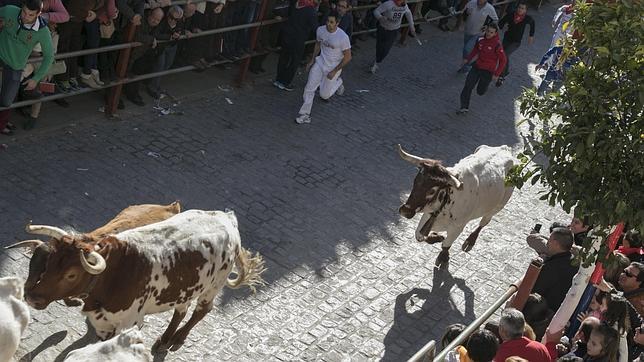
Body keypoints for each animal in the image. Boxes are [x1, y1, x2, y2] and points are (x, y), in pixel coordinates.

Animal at [7, 209, 264, 350]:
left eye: (71, 274)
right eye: (47, 263)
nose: (32, 297)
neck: (113, 274)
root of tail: (226, 217)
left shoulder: (128, 322)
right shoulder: (102, 322)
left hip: (213, 286)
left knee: (202, 310)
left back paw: (178, 338)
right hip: (186, 288)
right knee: (180, 310)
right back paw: (165, 339)